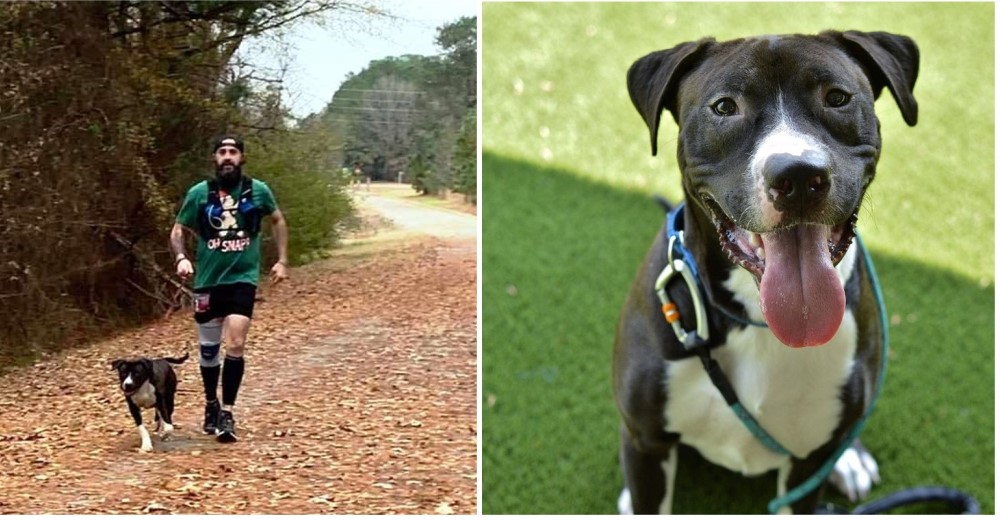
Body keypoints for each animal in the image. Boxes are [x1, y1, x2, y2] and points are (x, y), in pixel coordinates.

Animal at [608, 30, 916, 512]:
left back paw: (851, 459)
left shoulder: (808, 467)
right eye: (724, 107)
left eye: (838, 98)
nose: (800, 176)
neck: (757, 319)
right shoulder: (646, 443)